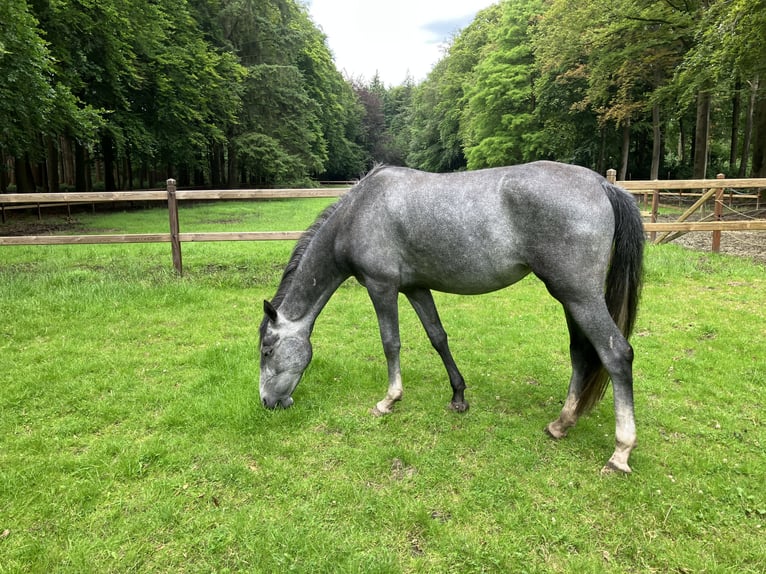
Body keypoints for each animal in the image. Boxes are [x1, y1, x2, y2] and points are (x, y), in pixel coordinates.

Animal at [260, 161, 644, 472]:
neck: (359, 211)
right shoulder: (416, 288)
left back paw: (620, 452)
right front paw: (458, 396)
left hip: (579, 295)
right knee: (580, 353)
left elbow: (390, 343)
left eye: (267, 349)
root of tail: (602, 184)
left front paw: (389, 400)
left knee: (616, 354)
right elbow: (438, 337)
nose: (268, 403)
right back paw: (561, 424)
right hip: (570, 297)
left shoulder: (382, 287)